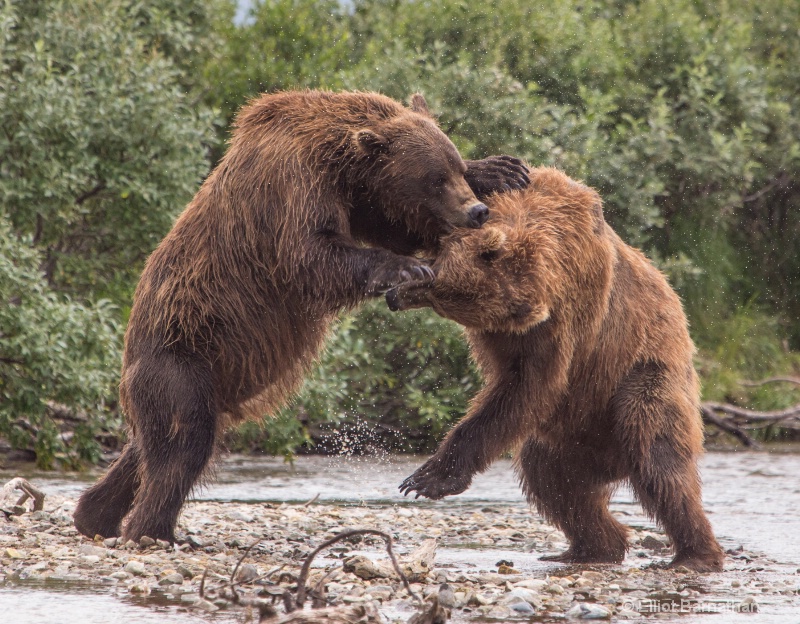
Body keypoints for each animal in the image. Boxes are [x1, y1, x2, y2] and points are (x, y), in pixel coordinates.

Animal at [72, 90, 528, 544]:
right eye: (435, 179)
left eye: (455, 167)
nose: (476, 211)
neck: (337, 163)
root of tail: (125, 363)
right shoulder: (290, 187)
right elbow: (310, 256)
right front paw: (407, 268)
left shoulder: (359, 198)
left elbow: (390, 225)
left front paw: (503, 169)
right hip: (181, 356)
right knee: (185, 442)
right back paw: (154, 531)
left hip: (210, 375)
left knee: (151, 444)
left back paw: (94, 513)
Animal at [390, 167, 728, 576]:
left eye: (436, 292)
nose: (394, 295)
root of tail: (611, 462)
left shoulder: (561, 321)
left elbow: (525, 386)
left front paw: (426, 479)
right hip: (571, 436)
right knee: (553, 479)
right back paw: (591, 547)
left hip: (639, 377)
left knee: (657, 456)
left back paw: (694, 554)